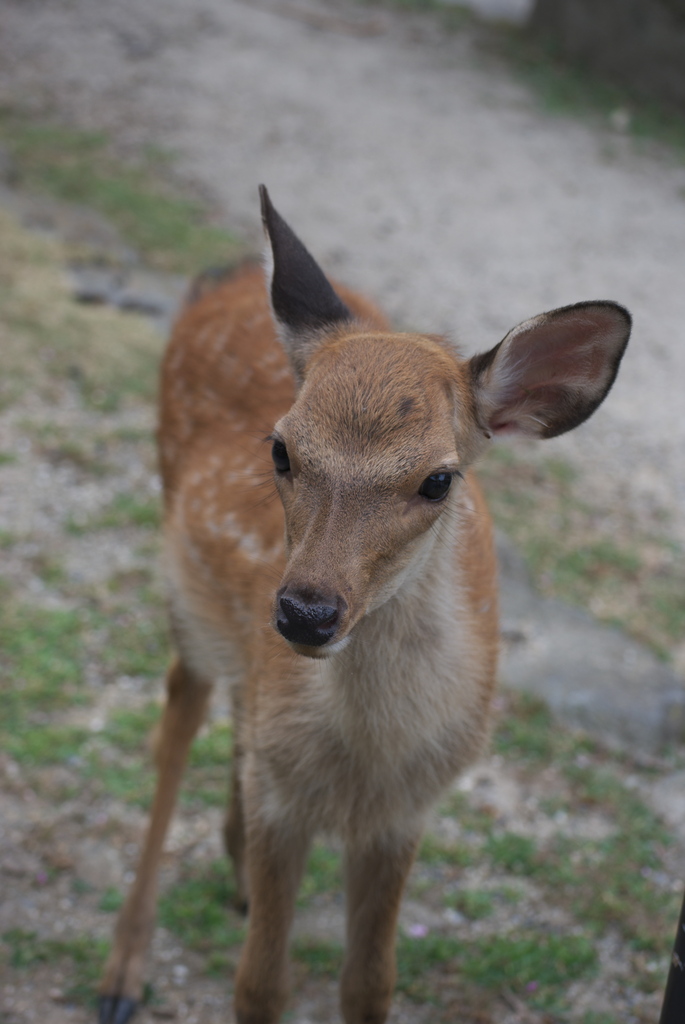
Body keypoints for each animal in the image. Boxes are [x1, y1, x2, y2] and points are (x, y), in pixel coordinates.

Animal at [97, 188, 630, 1024]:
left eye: (438, 480)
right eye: (280, 449)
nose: (306, 612)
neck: (366, 760)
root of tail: (230, 272)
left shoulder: (405, 811)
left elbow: (371, 982)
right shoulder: (287, 802)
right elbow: (259, 985)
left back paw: (232, 870)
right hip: (187, 587)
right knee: (178, 719)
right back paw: (123, 970)